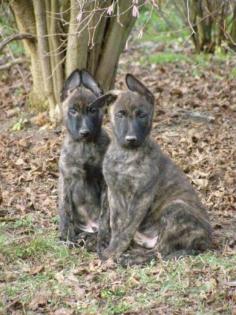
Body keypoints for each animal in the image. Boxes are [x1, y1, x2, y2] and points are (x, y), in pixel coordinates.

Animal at [58, 68, 111, 247]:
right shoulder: (66, 180)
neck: (84, 147)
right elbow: (66, 210)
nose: (84, 132)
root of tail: (90, 226)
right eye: (73, 111)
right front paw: (66, 237)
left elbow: (105, 213)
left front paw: (103, 238)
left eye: (92, 110)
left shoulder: (105, 182)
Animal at [97, 74, 212, 266]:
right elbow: (116, 223)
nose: (131, 139)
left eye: (142, 115)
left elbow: (127, 227)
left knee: (160, 251)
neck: (126, 154)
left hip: (175, 208)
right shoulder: (114, 192)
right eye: (120, 114)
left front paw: (113, 252)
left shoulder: (142, 196)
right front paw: (112, 243)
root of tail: (207, 241)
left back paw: (132, 258)